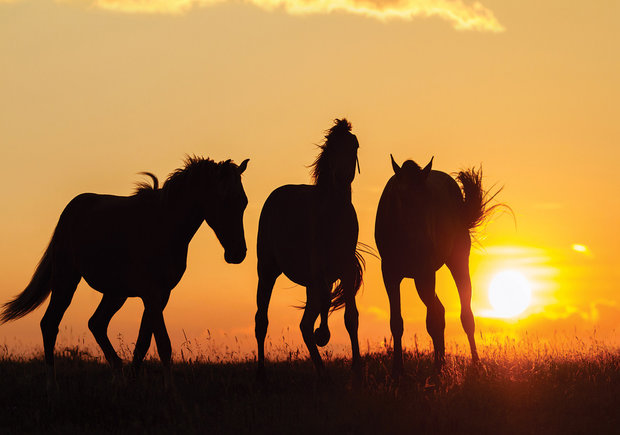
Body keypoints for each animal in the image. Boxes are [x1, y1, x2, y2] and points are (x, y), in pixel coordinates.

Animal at [2, 156, 251, 388]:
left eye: (244, 202)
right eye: (224, 200)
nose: (237, 253)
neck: (163, 225)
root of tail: (71, 209)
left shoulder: (161, 295)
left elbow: (144, 341)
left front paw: (134, 382)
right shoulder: (151, 293)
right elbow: (163, 343)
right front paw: (170, 390)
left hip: (115, 293)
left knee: (96, 323)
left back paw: (118, 374)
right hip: (67, 280)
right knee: (50, 323)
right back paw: (52, 384)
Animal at [256, 119, 364, 382]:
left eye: (354, 145)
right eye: (332, 146)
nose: (342, 176)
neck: (334, 215)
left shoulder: (345, 270)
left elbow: (351, 318)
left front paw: (357, 370)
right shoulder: (318, 269)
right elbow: (325, 300)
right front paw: (323, 334)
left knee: (304, 325)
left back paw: (322, 371)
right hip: (267, 271)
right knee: (261, 320)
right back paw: (262, 374)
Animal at [372, 156, 498, 378]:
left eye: (428, 198)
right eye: (402, 197)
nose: (424, 242)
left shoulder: (426, 272)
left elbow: (432, 321)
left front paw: (437, 371)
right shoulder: (389, 274)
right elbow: (397, 322)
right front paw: (397, 371)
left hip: (455, 263)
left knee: (465, 315)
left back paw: (473, 364)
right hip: (420, 280)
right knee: (440, 310)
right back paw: (442, 362)